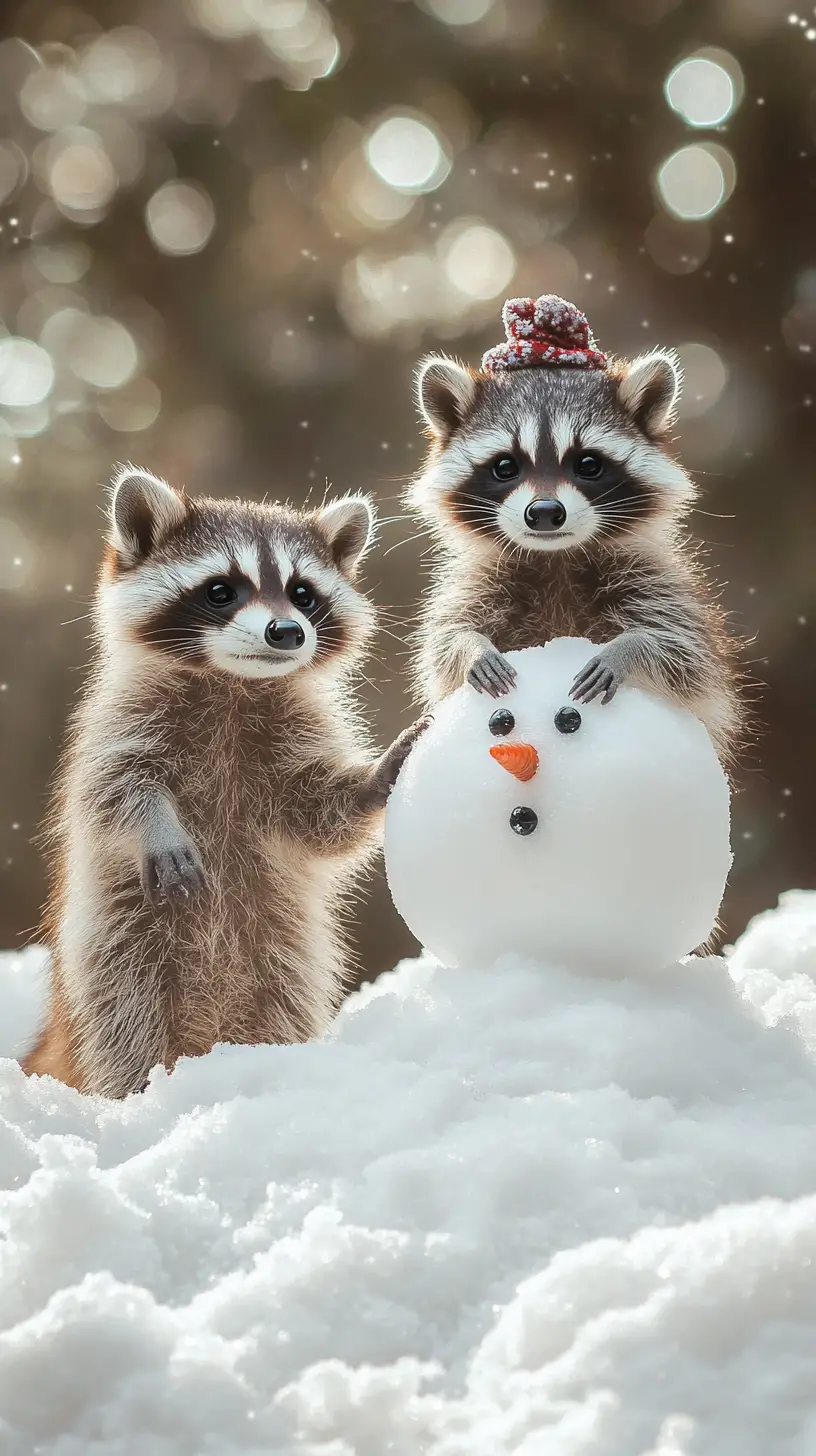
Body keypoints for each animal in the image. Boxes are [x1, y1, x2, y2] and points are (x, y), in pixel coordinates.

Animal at [24, 468, 425, 1098]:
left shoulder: (291, 738)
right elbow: (115, 790)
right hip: (114, 944)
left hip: (283, 950)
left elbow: (320, 816)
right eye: (221, 591)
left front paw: (374, 779)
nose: (287, 631)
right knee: (125, 1023)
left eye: (303, 594)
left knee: (283, 1000)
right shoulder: (115, 725)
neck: (233, 684)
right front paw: (155, 824)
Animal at [409, 294, 741, 764]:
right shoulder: (478, 582)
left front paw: (629, 649)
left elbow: (685, 653)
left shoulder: (657, 581)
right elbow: (442, 643)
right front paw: (471, 646)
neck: (555, 558)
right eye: (505, 467)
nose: (546, 512)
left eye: (588, 464)